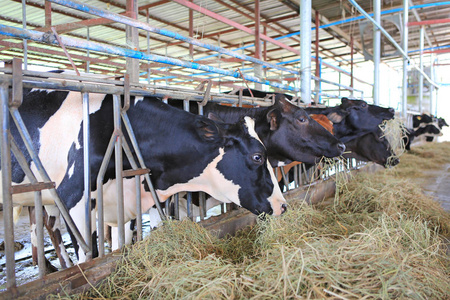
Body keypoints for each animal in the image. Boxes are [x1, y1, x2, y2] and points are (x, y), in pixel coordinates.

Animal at [1, 89, 286, 262]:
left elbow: (122, 244)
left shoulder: (124, 202)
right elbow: (89, 255)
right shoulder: (73, 198)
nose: (283, 205)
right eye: (258, 157)